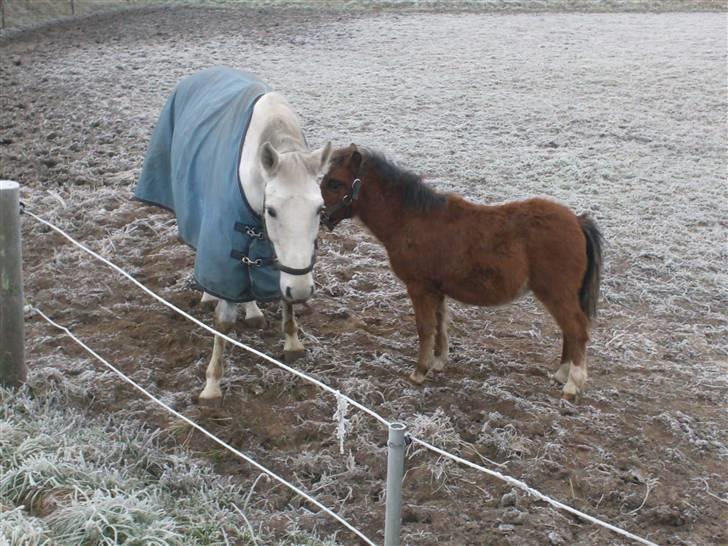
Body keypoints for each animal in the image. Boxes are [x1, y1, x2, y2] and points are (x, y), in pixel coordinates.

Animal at [135, 67, 331, 402]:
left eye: (319, 209)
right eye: (272, 211)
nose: (302, 290)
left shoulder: (279, 258)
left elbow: (281, 292)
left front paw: (292, 341)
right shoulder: (223, 243)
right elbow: (223, 321)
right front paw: (212, 384)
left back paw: (252, 311)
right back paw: (208, 295)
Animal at [320, 145, 603, 401]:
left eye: (335, 183)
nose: (321, 218)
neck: (412, 220)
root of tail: (577, 220)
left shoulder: (419, 287)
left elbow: (425, 327)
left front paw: (419, 372)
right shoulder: (436, 289)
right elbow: (440, 324)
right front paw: (438, 362)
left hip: (556, 294)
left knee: (576, 330)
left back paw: (572, 384)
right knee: (568, 331)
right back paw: (561, 375)